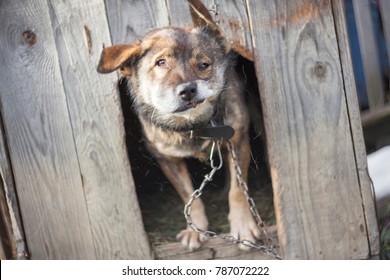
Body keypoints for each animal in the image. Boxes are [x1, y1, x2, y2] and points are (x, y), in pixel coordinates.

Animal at [98, 0, 262, 249]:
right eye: (161, 63)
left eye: (204, 64)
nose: (187, 90)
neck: (193, 125)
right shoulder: (166, 158)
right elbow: (189, 197)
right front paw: (195, 229)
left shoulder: (238, 141)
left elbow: (238, 191)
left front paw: (242, 226)